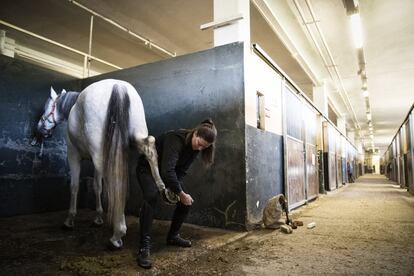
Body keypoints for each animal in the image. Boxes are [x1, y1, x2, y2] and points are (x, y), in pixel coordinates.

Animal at [36, 78, 178, 249]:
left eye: (48, 107)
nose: (39, 128)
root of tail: (118, 86)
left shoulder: (73, 155)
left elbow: (74, 186)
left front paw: (69, 220)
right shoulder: (95, 159)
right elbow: (97, 186)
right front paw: (98, 218)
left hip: (100, 151)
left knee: (113, 179)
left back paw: (118, 233)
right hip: (133, 138)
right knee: (149, 145)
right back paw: (164, 190)